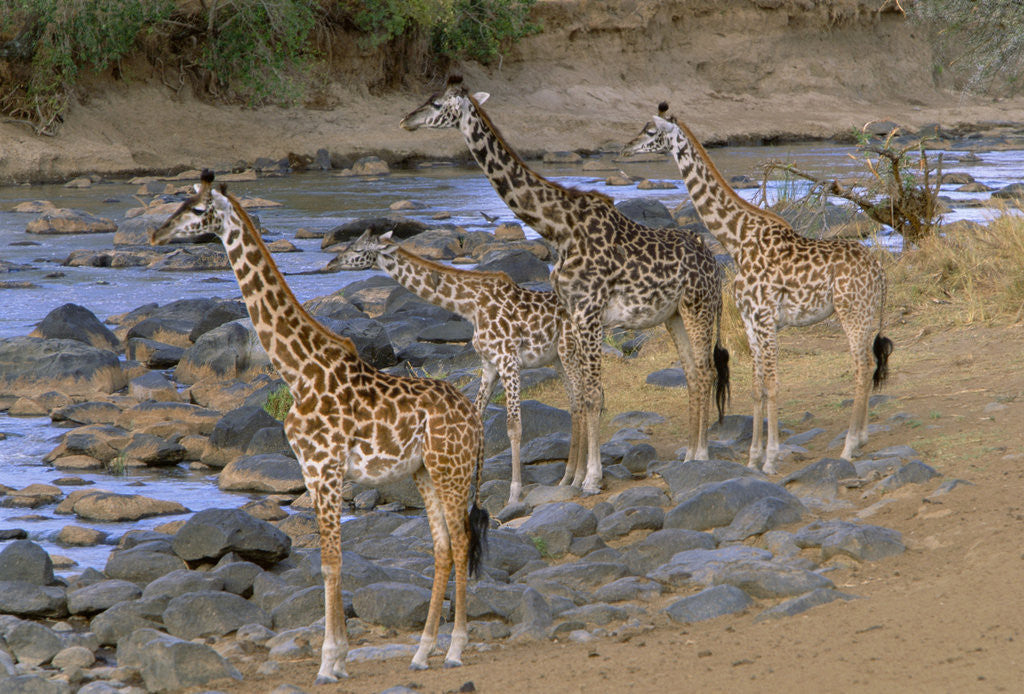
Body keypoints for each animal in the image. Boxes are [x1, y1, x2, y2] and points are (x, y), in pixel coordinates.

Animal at [151, 171, 488, 682]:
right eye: (179, 201)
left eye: (196, 210)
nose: (157, 234)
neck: (299, 370)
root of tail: (474, 417)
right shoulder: (313, 471)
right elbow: (329, 561)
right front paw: (339, 658)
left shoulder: (323, 467)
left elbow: (330, 562)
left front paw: (330, 662)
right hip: (425, 471)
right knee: (444, 548)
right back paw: (422, 652)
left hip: (452, 468)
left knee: (463, 541)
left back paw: (454, 650)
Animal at [333, 229, 585, 506]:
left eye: (358, 249)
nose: (333, 263)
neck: (471, 306)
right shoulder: (489, 364)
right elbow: (475, 418)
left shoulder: (508, 359)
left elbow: (514, 427)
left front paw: (514, 493)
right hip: (558, 358)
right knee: (577, 404)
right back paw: (568, 477)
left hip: (572, 351)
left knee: (590, 400)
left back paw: (584, 478)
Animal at [401, 76, 730, 494]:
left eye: (437, 103)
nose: (405, 120)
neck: (557, 227)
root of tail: (715, 265)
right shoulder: (573, 316)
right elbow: (587, 395)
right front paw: (580, 475)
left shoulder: (589, 311)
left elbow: (591, 396)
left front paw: (590, 478)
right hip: (672, 316)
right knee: (691, 374)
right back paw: (688, 453)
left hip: (698, 307)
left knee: (705, 371)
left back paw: (701, 453)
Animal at [622, 103, 893, 474]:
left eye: (650, 131)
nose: (625, 147)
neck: (737, 239)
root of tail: (880, 272)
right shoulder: (751, 321)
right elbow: (756, 387)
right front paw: (753, 457)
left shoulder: (765, 318)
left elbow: (774, 384)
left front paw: (771, 458)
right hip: (865, 314)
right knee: (869, 363)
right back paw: (861, 437)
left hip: (852, 312)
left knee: (863, 366)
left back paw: (850, 446)